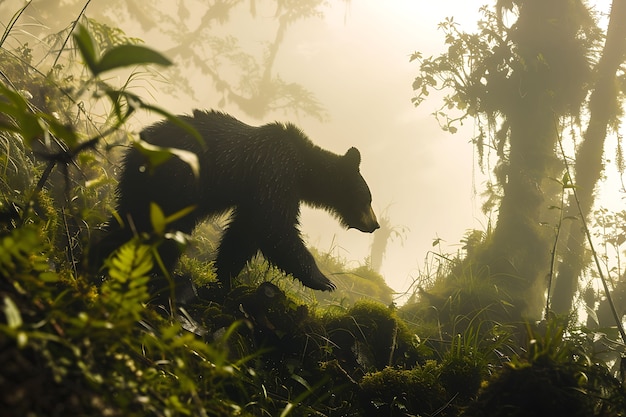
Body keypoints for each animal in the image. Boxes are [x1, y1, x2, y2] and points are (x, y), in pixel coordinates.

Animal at [92, 110, 376, 292]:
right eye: (367, 199)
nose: (375, 225)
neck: (303, 168)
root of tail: (140, 144)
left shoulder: (255, 189)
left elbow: (244, 233)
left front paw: (225, 276)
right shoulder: (274, 172)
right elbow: (276, 227)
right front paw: (324, 280)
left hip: (142, 183)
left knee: (129, 218)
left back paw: (104, 258)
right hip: (177, 181)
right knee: (166, 229)